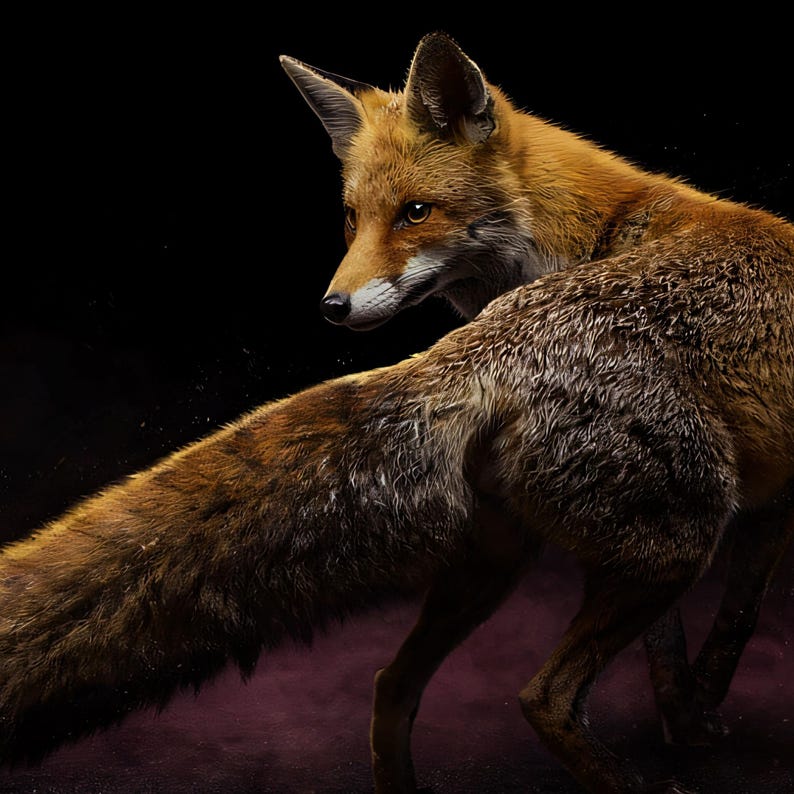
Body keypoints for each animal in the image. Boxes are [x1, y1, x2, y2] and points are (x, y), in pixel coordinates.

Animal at [280, 32, 794, 746]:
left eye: (416, 213)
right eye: (353, 218)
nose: (332, 307)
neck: (594, 236)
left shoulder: (772, 498)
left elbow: (735, 621)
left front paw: (694, 725)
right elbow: (669, 644)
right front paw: (682, 724)